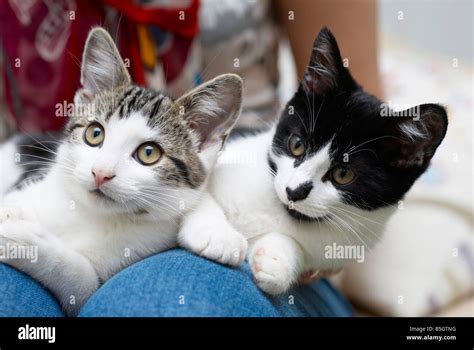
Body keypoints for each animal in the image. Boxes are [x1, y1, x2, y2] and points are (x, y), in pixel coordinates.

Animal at [0, 28, 243, 314]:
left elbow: (82, 277)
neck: (92, 215)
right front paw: (10, 216)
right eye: (94, 134)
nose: (100, 172)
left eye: (149, 153)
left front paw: (17, 239)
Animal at [178, 28, 448, 296]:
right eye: (297, 144)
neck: (284, 214)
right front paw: (217, 236)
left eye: (343, 174)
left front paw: (276, 261)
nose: (294, 191)